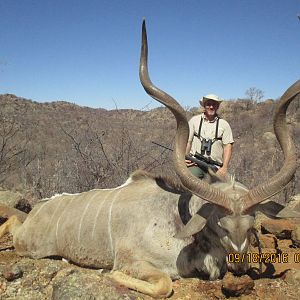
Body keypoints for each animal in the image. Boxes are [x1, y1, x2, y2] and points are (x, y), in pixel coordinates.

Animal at [0, 21, 300, 298]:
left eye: (251, 225)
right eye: (220, 223)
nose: (239, 265)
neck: (178, 221)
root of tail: (42, 207)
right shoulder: (134, 261)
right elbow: (162, 284)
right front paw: (107, 273)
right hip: (30, 246)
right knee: (14, 223)